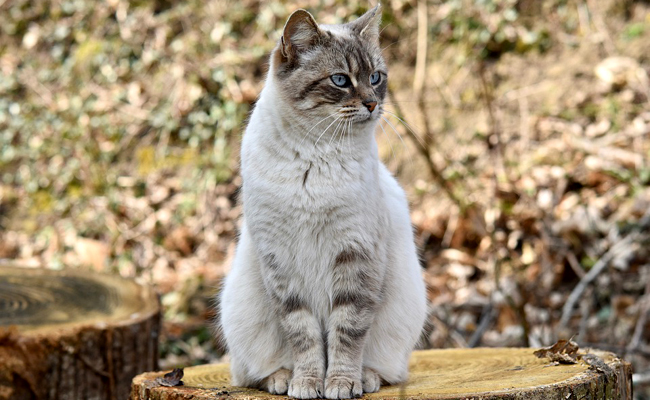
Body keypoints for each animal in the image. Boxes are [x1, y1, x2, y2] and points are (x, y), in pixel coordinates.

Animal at [220, 6, 428, 400]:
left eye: (375, 77)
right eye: (341, 80)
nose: (373, 103)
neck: (315, 155)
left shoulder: (355, 253)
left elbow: (347, 333)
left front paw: (341, 384)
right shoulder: (281, 262)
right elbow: (303, 335)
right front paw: (307, 383)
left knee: (387, 369)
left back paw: (366, 379)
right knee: (249, 374)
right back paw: (281, 379)